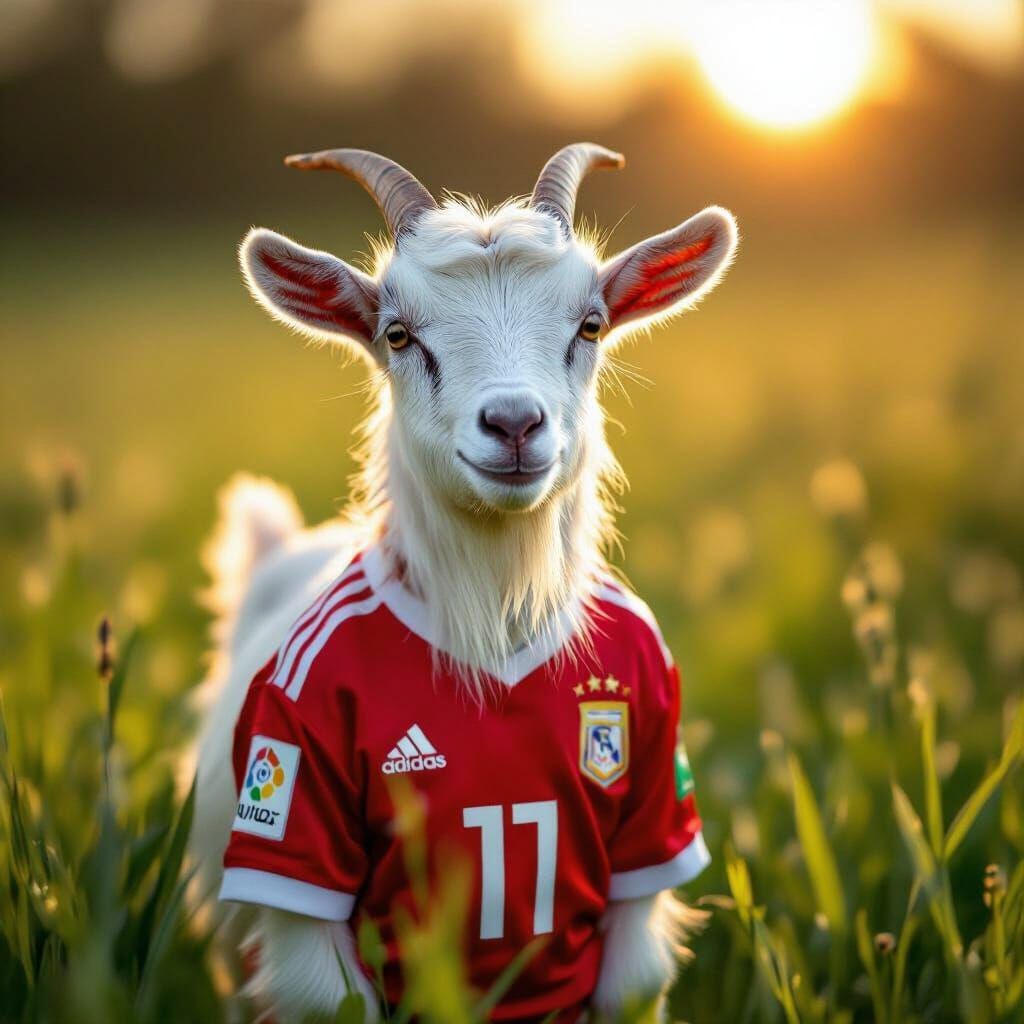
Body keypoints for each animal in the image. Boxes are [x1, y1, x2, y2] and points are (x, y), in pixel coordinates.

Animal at [190, 143, 738, 1022]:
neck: (494, 616)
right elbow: (329, 995)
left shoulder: (650, 822)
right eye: (398, 333)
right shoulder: (292, 803)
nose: (514, 424)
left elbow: (634, 978)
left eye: (590, 324)